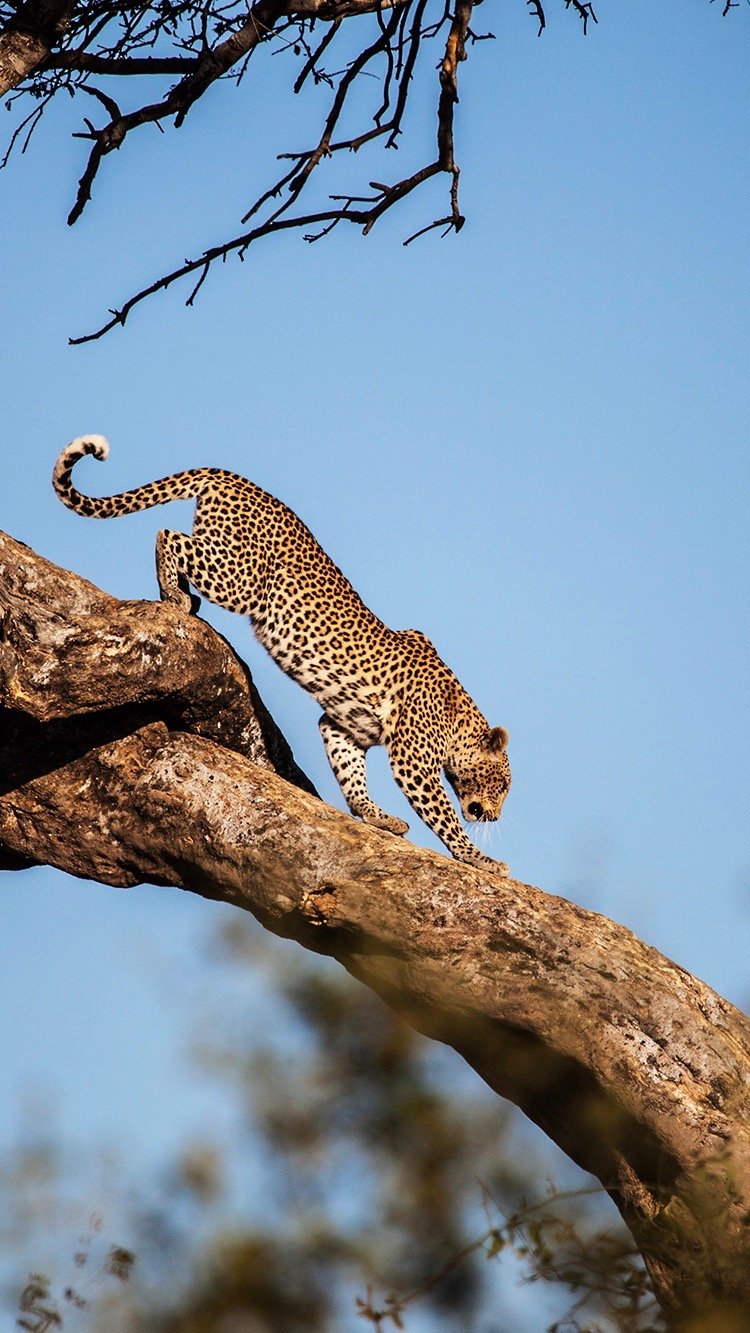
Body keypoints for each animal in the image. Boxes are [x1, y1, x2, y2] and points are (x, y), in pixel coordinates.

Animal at [51, 437, 511, 869]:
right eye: (501, 784)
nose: (494, 817)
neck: (458, 721)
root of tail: (237, 479)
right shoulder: (413, 759)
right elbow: (443, 815)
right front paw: (480, 859)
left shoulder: (343, 727)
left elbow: (351, 776)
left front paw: (375, 816)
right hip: (241, 578)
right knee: (168, 536)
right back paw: (175, 597)